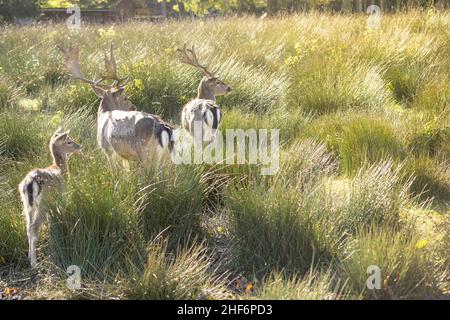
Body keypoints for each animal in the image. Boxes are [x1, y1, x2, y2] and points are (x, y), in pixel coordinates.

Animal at [18, 127, 81, 268]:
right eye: (69, 141)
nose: (79, 146)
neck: (59, 168)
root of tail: (29, 183)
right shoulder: (62, 195)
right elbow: (61, 210)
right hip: (44, 202)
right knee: (34, 227)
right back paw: (34, 263)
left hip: (26, 205)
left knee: (28, 227)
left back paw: (29, 256)